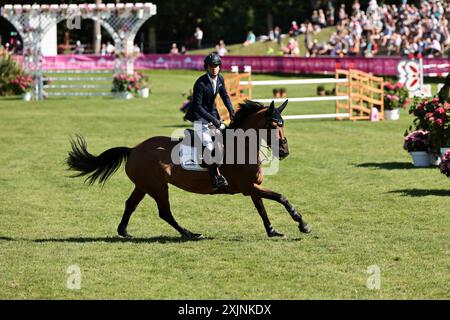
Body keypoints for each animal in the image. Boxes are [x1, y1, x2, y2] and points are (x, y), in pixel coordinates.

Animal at [67, 99, 312, 238]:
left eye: (283, 125)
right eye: (273, 125)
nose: (284, 152)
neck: (242, 146)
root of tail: (134, 149)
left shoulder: (252, 187)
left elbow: (262, 209)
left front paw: (272, 231)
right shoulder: (247, 187)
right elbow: (281, 197)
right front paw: (302, 223)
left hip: (144, 185)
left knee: (131, 204)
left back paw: (124, 231)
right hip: (158, 187)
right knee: (164, 212)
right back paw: (189, 233)